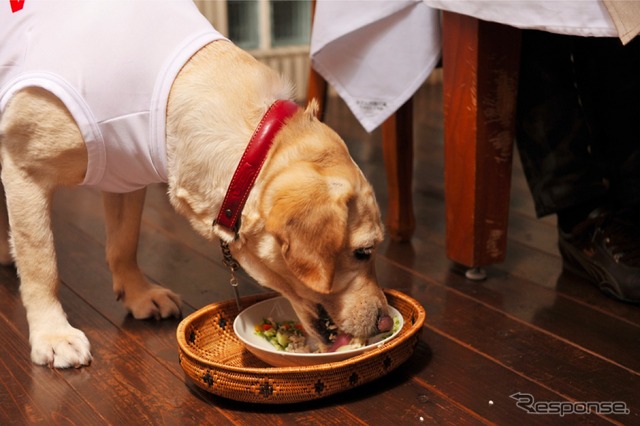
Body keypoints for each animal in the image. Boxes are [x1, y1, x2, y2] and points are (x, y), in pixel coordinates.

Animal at [0, 0, 390, 368]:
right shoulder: (23, 167)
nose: (385, 322)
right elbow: (42, 263)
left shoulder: (124, 172)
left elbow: (124, 243)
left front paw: (138, 293)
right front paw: (53, 334)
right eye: (363, 252)